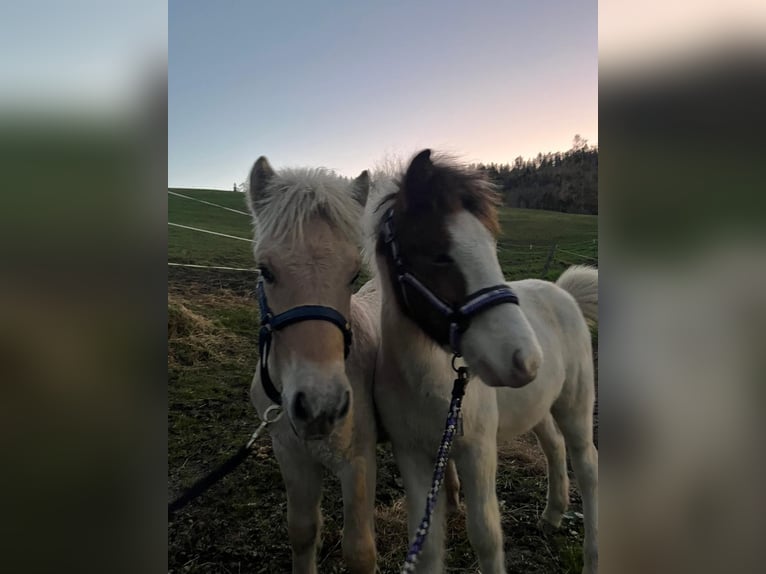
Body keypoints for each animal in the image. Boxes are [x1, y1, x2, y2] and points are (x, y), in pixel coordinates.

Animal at [246, 159, 380, 574]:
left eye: (353, 274)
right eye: (265, 270)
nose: (321, 407)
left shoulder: (358, 462)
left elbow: (359, 551)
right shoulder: (291, 453)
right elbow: (303, 531)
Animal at [366, 151, 600, 572]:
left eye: (492, 248)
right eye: (439, 254)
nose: (526, 360)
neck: (429, 385)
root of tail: (563, 291)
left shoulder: (478, 451)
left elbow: (486, 536)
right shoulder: (412, 455)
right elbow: (427, 544)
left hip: (574, 403)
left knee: (587, 465)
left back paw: (591, 556)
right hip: (537, 406)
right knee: (554, 446)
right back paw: (552, 515)